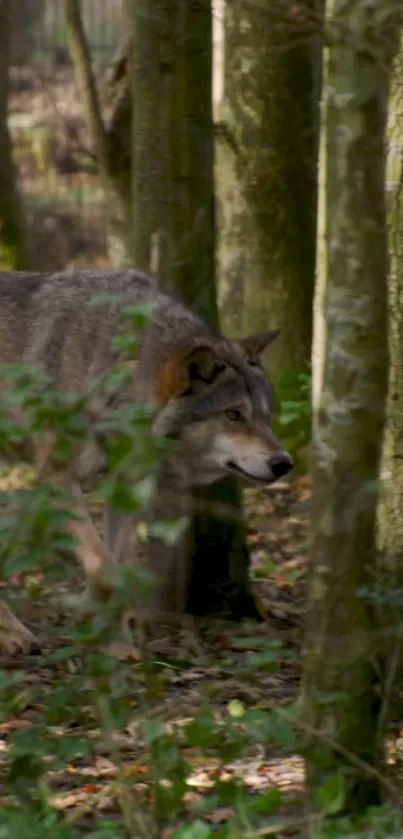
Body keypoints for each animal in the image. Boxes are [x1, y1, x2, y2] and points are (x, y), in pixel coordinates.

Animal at [0, 266, 294, 652]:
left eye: (266, 415)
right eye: (233, 415)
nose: (284, 463)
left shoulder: (124, 487)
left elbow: (119, 565)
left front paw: (113, 639)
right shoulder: (56, 477)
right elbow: (105, 568)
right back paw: (14, 635)